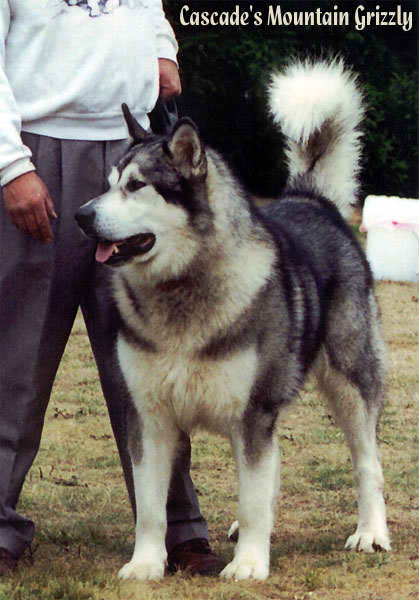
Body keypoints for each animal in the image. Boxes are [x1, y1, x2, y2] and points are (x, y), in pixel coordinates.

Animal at [76, 58, 394, 580]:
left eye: (136, 186)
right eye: (108, 184)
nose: (81, 216)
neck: (182, 291)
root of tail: (312, 200)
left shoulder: (252, 413)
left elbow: (252, 497)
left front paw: (248, 564)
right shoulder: (149, 416)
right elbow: (151, 507)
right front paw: (145, 564)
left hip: (350, 381)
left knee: (367, 463)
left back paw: (371, 532)